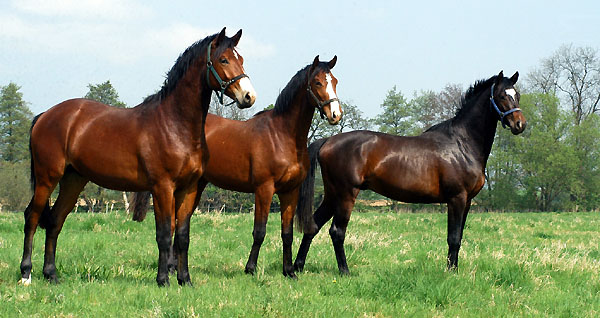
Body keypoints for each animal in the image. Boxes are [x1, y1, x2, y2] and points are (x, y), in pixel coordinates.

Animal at [18, 26, 256, 286]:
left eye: (242, 59)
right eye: (223, 59)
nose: (248, 96)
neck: (174, 124)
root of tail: (45, 115)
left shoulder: (189, 188)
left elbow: (182, 236)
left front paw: (185, 280)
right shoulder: (162, 187)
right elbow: (164, 234)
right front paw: (163, 280)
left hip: (73, 179)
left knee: (54, 221)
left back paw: (51, 274)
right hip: (47, 178)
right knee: (32, 217)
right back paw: (26, 274)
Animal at [131, 55, 342, 278]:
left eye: (335, 82)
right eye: (317, 82)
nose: (336, 114)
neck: (282, 136)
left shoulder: (290, 192)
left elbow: (287, 234)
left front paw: (289, 271)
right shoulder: (264, 189)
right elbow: (259, 232)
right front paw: (250, 269)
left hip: (194, 187)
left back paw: (172, 268)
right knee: (172, 223)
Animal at [294, 71, 524, 274]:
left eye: (517, 94)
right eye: (502, 95)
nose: (519, 124)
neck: (461, 144)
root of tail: (328, 141)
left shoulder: (467, 201)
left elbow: (459, 237)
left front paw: (454, 270)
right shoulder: (456, 198)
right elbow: (453, 238)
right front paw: (450, 272)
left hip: (332, 195)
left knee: (313, 226)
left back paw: (298, 267)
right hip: (346, 195)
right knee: (337, 232)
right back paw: (344, 271)